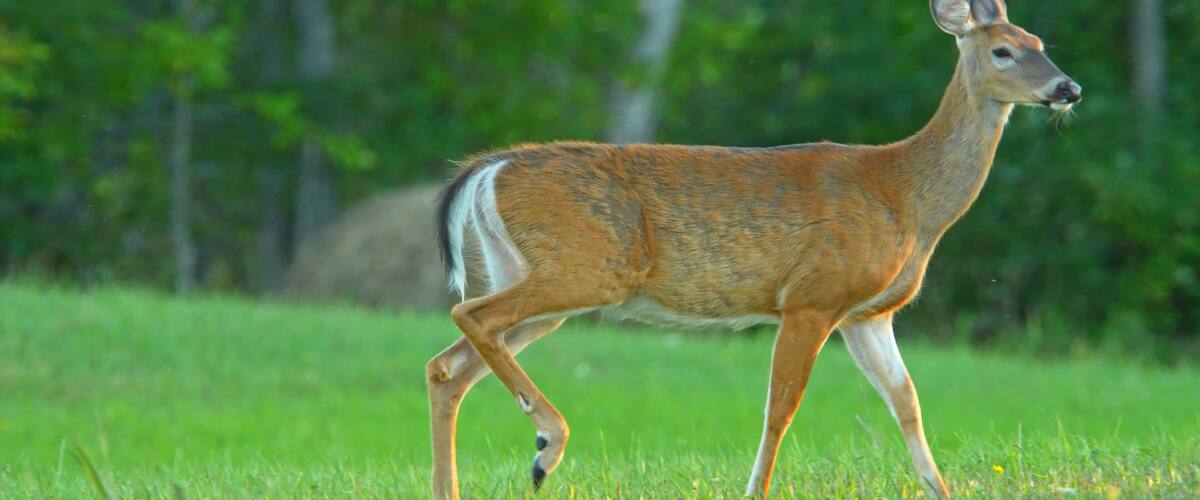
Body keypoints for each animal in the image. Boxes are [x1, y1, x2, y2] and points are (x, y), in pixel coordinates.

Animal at [425, 0, 1080, 497]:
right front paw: (755, 489)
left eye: (1039, 40)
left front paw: (938, 489)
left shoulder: (869, 313)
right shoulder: (812, 296)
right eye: (1003, 50)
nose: (1068, 87)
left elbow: (906, 401)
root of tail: (488, 169)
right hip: (584, 269)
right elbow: (781, 407)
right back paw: (547, 446)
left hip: (539, 278)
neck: (905, 197)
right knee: (467, 315)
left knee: (449, 367)